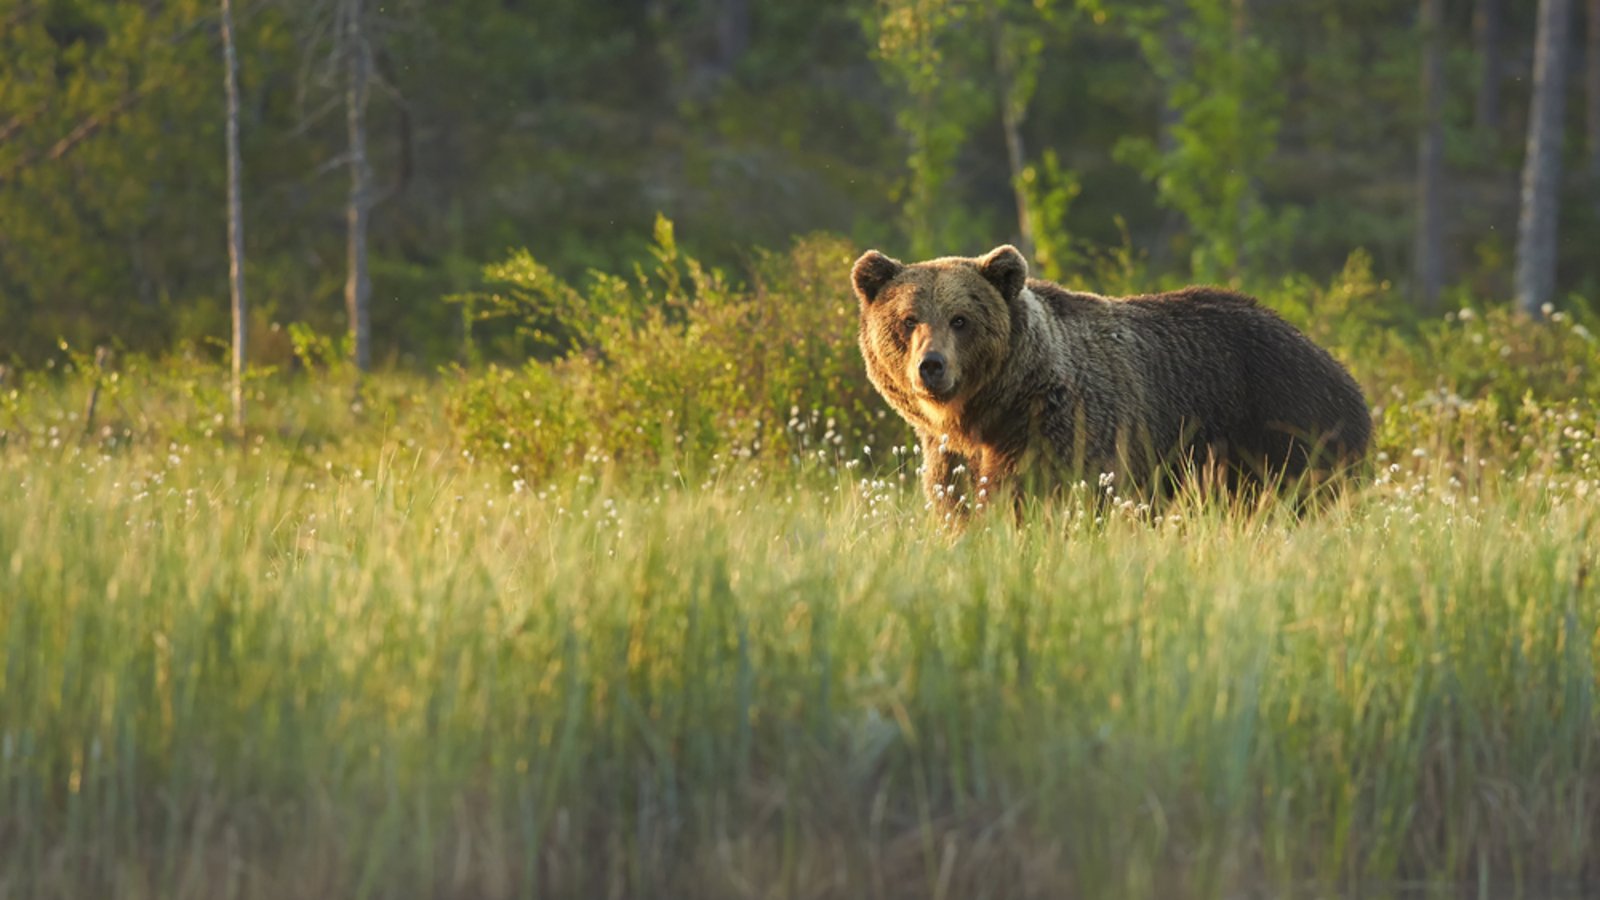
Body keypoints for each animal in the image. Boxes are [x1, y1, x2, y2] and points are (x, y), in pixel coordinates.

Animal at [851, 244, 1371, 519]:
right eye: (908, 319)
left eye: (960, 320)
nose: (932, 365)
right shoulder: (952, 455)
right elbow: (959, 504)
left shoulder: (1067, 428)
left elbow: (1049, 496)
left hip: (1286, 424)